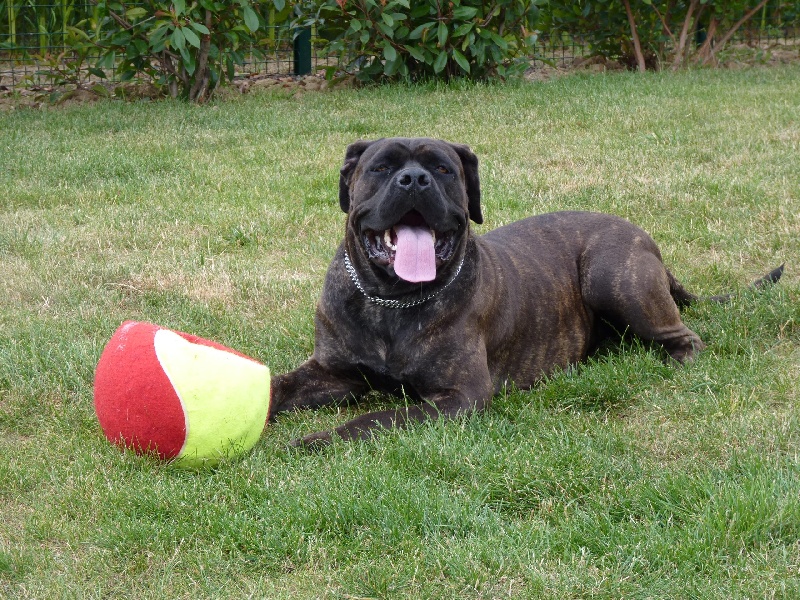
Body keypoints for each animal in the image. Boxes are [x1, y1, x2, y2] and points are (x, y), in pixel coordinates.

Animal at [272, 136, 784, 446]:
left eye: (443, 168)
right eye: (380, 167)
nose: (414, 178)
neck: (391, 299)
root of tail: (643, 236)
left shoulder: (460, 396)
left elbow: (376, 420)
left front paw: (314, 441)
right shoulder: (332, 371)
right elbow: (279, 385)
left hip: (613, 276)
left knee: (685, 336)